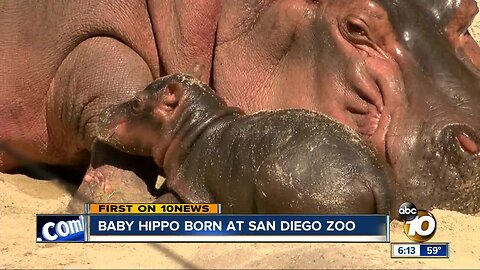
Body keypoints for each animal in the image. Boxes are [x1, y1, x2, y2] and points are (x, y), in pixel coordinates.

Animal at [96, 73, 390, 213]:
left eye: (136, 102)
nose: (103, 111)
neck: (194, 128)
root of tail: (374, 176)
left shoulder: (192, 192)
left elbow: (165, 200)